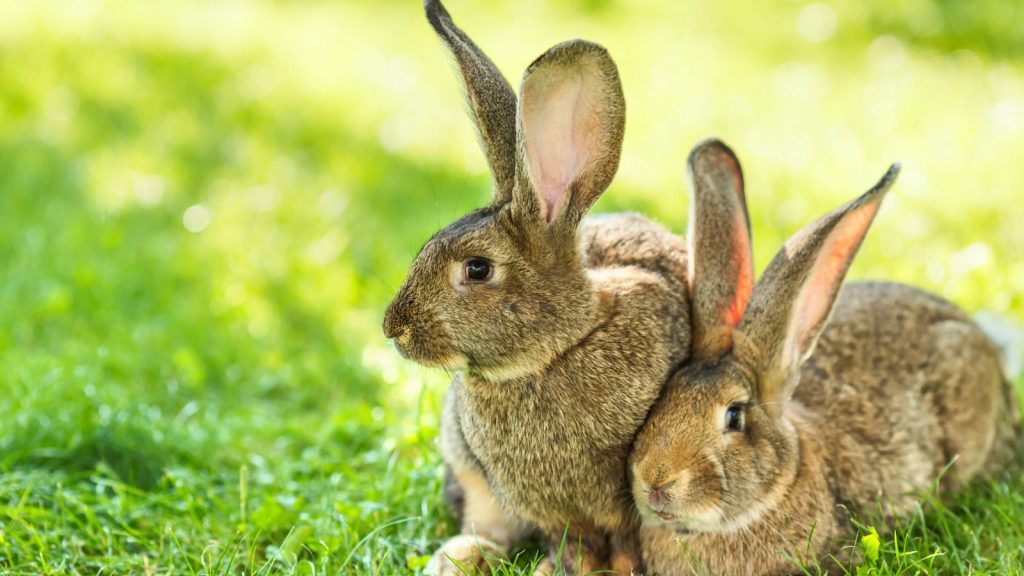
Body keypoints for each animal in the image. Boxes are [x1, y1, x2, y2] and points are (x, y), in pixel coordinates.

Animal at [383, 1, 698, 573]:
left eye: (477, 269)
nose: (393, 328)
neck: (557, 350)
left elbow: (624, 543)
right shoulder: (547, 508)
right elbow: (568, 543)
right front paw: (555, 569)